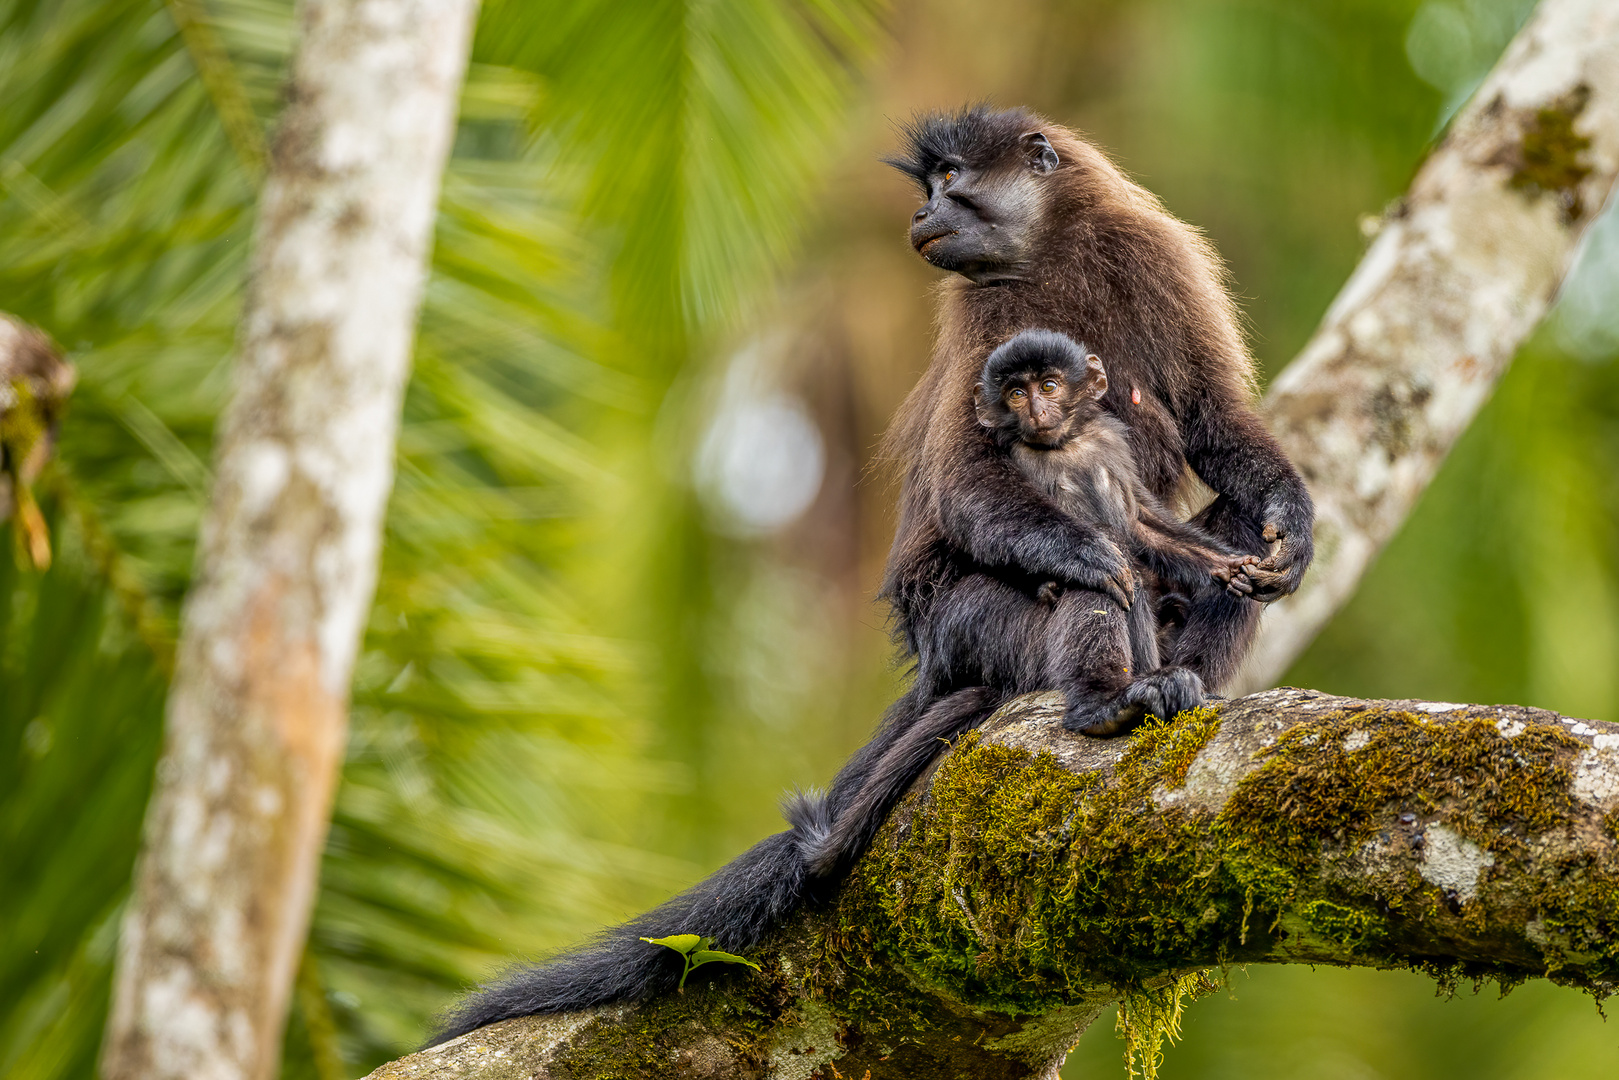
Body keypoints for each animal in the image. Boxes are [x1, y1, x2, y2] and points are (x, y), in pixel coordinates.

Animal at [971, 327, 1262, 683]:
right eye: (1016, 394)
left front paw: (1230, 566)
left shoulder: (1113, 442)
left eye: (1048, 386)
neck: (1069, 445)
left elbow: (1139, 523)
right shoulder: (1023, 459)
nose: (1036, 412)